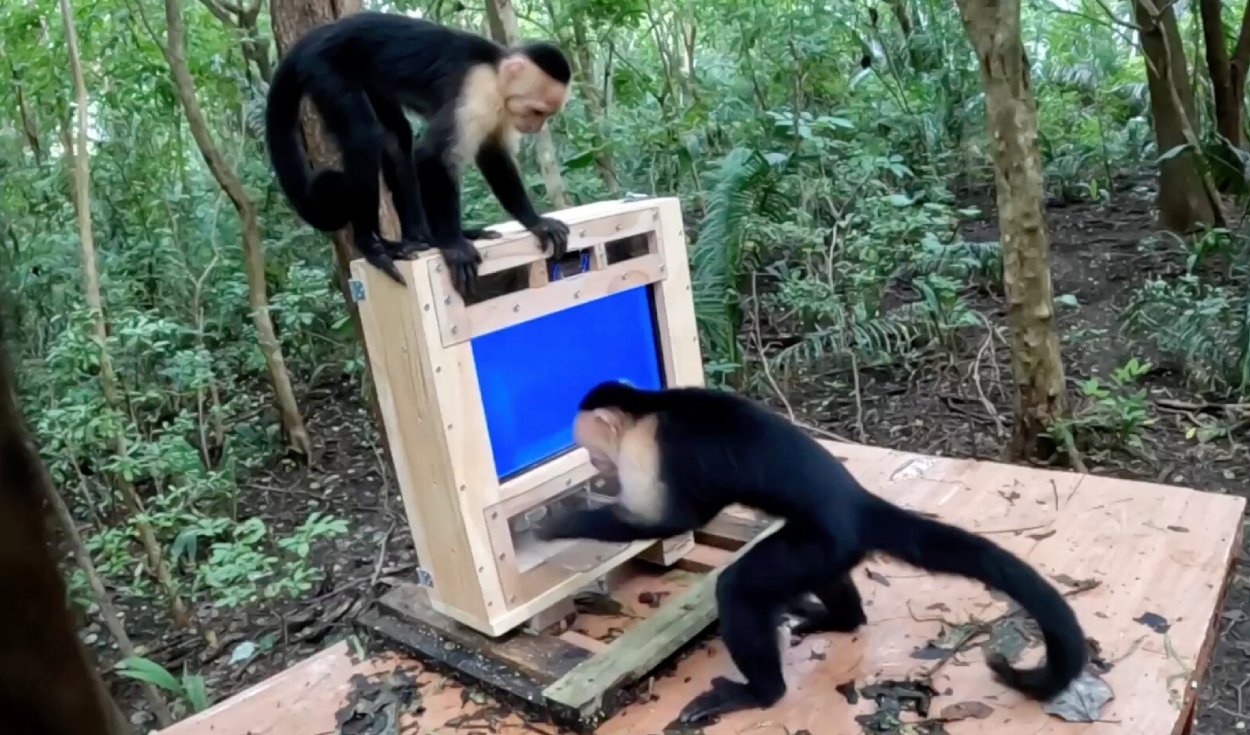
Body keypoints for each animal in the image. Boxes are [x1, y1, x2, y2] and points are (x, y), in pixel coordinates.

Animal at [265, 12, 572, 296]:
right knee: (362, 137)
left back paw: (421, 237)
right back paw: (371, 245)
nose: (536, 127)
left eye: (545, 114)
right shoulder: (477, 91)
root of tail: (312, 39)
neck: (495, 72)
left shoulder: (500, 109)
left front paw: (535, 222)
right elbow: (432, 157)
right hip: (323, 68)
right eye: (537, 111)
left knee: (396, 137)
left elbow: (492, 155)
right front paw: (453, 245)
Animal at [537, 382, 1087, 726]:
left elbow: (672, 521)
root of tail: (858, 501)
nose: (595, 467)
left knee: (739, 588)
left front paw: (559, 522)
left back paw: (761, 691)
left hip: (825, 539)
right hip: (831, 546)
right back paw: (839, 618)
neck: (649, 409)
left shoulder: (647, 452)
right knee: (822, 579)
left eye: (593, 451)